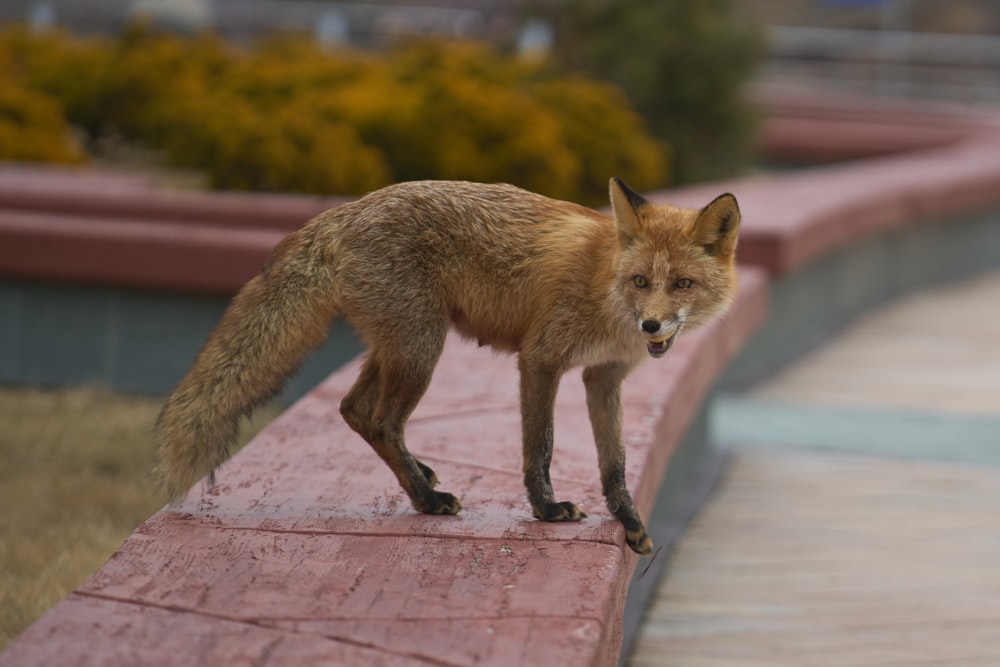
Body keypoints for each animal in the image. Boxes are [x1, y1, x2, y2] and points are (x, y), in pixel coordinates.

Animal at [154, 179, 736, 560]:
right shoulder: (541, 359)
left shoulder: (604, 376)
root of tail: (348, 209)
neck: (606, 289)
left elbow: (614, 463)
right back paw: (428, 499)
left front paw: (628, 521)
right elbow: (541, 448)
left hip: (399, 347)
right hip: (421, 350)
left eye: (682, 284)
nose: (652, 325)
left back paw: (421, 480)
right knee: (383, 421)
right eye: (641, 281)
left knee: (353, 410)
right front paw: (546, 511)